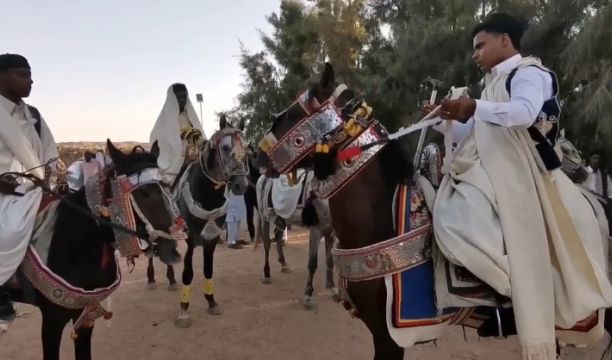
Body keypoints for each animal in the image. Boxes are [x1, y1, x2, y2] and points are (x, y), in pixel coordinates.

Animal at [143, 116, 249, 328]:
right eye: (225, 147)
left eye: (247, 147)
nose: (241, 184)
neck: (206, 195)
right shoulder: (190, 240)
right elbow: (188, 273)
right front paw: (184, 311)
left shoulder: (212, 238)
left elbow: (208, 270)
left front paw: (212, 302)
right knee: (152, 250)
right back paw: (151, 279)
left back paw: (171, 280)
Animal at [252, 167, 340, 308]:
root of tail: (264, 176)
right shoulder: (316, 231)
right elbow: (312, 263)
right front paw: (308, 296)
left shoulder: (329, 232)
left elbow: (330, 260)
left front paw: (332, 288)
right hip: (264, 217)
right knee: (267, 243)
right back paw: (266, 274)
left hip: (281, 219)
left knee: (278, 237)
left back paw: (284, 265)